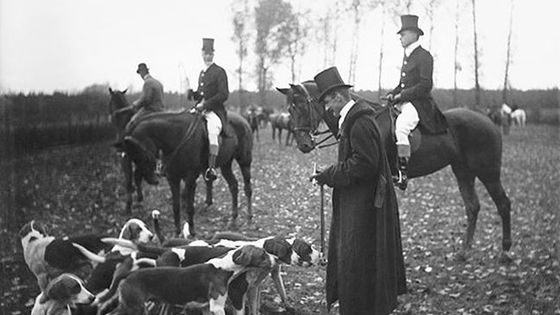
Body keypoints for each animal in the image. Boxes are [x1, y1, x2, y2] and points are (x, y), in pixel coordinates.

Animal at [109, 87, 254, 236]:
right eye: (134, 155)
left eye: (141, 152)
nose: (153, 180)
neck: (176, 136)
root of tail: (243, 119)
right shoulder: (173, 178)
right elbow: (176, 206)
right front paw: (177, 232)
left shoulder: (190, 178)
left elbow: (190, 206)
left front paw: (192, 231)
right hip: (226, 165)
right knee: (233, 186)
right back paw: (233, 218)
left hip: (245, 161)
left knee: (247, 188)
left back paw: (249, 217)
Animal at [276, 82, 512, 262]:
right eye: (290, 109)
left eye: (301, 106)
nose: (304, 145)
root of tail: (489, 121)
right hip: (463, 171)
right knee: (473, 207)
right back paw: (464, 252)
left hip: (488, 173)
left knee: (503, 204)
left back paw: (505, 252)